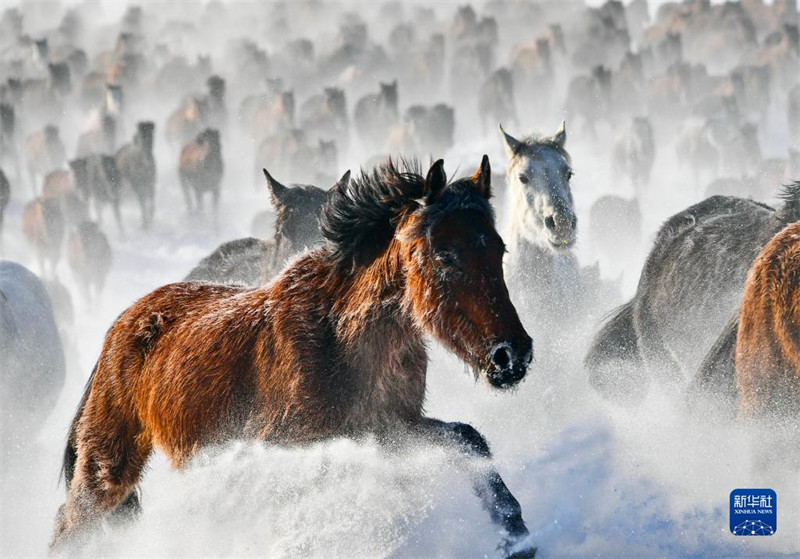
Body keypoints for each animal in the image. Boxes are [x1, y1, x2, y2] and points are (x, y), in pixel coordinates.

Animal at [50, 158, 536, 559]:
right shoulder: (286, 447)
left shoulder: (387, 429)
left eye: (499, 248)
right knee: (69, 528)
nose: (512, 355)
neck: (340, 338)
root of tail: (121, 326)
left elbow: (468, 439)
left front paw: (516, 536)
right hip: (107, 467)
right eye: (445, 255)